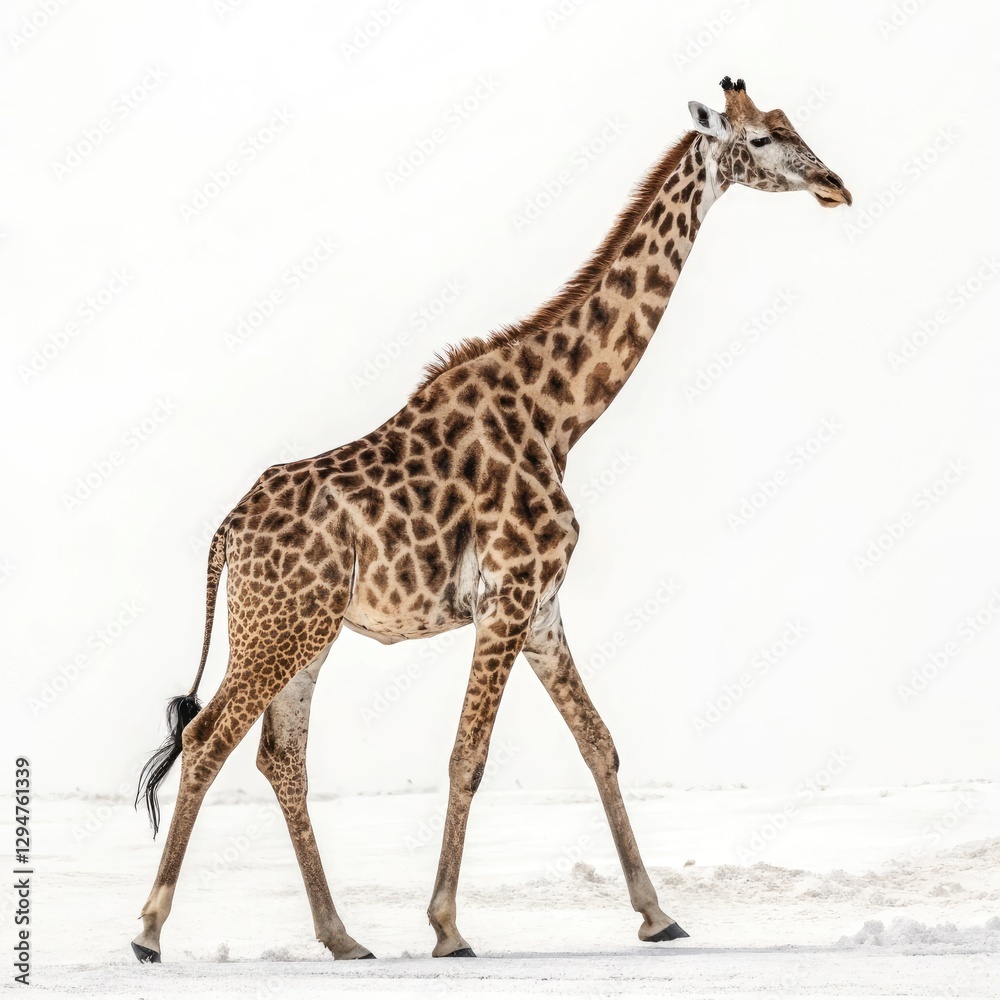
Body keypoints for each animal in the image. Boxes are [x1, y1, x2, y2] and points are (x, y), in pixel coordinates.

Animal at [132, 77, 851, 963]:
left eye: (788, 124)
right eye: (757, 141)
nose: (835, 185)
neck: (562, 415)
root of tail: (226, 535)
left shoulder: (540, 607)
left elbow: (599, 743)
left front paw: (658, 915)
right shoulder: (507, 597)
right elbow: (467, 756)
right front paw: (447, 927)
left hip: (304, 632)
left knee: (280, 757)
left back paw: (343, 938)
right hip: (279, 628)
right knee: (208, 741)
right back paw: (150, 930)